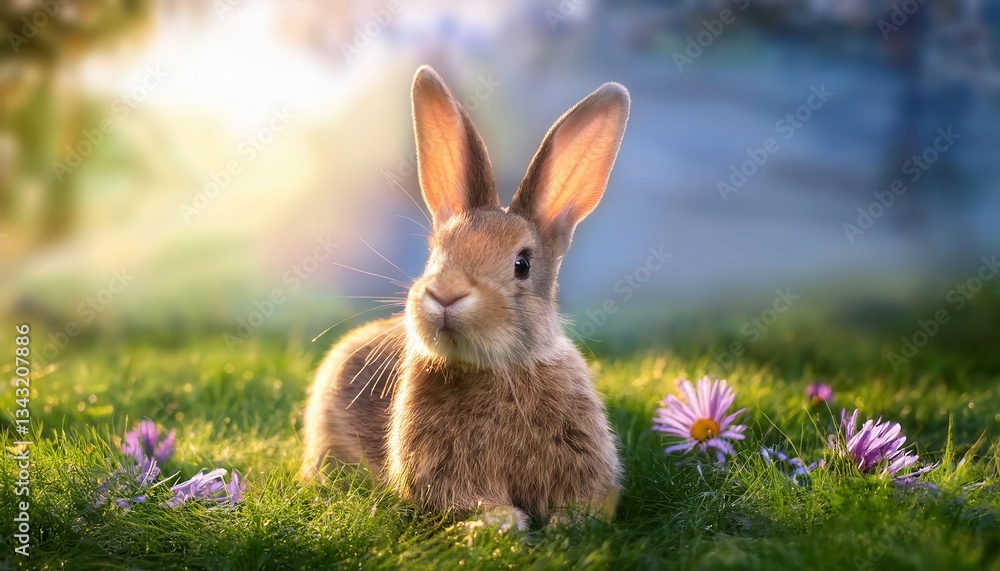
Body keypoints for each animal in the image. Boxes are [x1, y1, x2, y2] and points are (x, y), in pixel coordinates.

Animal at [300, 65, 630, 530]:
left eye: (522, 264)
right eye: (436, 252)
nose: (445, 294)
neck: (496, 369)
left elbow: (586, 506)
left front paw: (565, 526)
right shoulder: (445, 475)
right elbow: (470, 501)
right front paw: (501, 523)